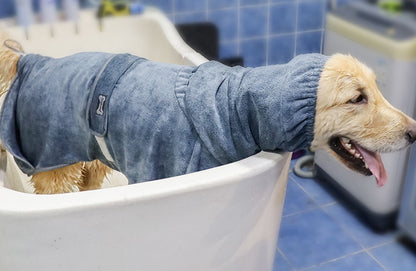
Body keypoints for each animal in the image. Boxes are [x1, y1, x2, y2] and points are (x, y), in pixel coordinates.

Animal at [0, 32, 414, 193]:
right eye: (357, 98)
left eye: (377, 89)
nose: (414, 131)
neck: (239, 110)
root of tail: (31, 60)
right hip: (54, 164)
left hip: (95, 157)